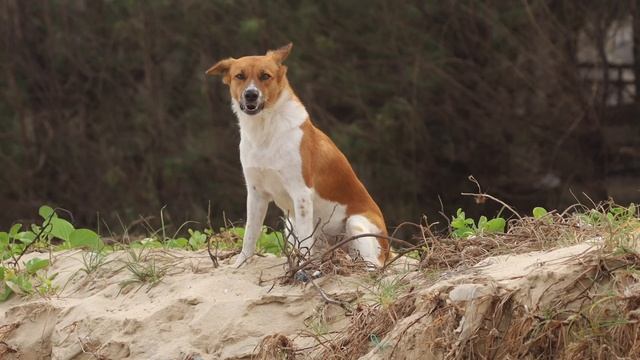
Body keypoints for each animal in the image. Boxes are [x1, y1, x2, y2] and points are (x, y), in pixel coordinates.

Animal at [205, 43, 390, 268]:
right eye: (240, 76)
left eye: (265, 76)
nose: (251, 95)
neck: (265, 131)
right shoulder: (256, 193)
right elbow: (250, 235)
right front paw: (240, 264)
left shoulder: (301, 193)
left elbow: (304, 242)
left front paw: (304, 267)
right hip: (289, 224)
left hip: (355, 224)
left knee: (373, 264)